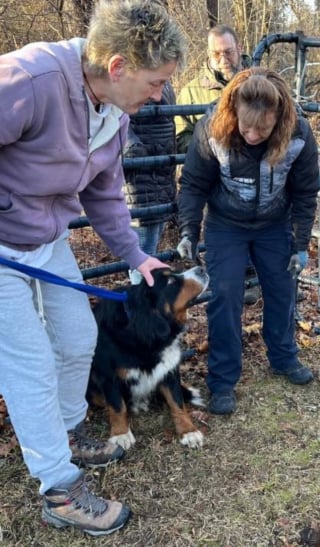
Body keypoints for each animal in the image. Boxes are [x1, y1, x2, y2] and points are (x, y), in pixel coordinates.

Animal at [86, 266, 209, 450]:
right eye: (170, 282)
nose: (201, 268)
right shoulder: (107, 374)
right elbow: (116, 405)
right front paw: (121, 434)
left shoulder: (168, 367)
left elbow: (176, 401)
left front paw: (188, 431)